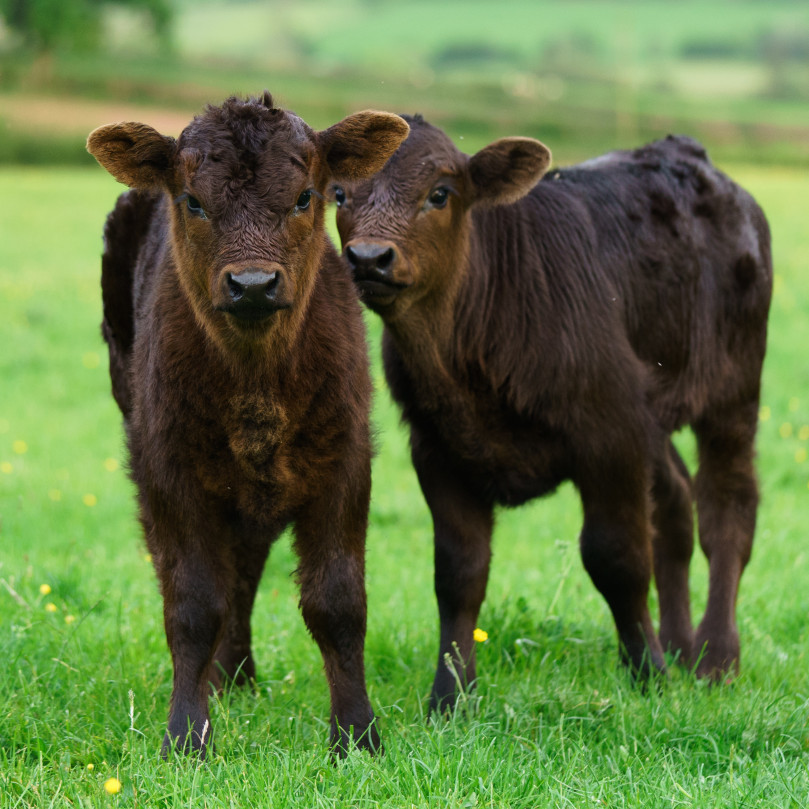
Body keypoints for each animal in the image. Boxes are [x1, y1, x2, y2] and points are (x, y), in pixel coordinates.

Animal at [85, 91, 408, 756]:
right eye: (193, 201)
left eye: (307, 197)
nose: (252, 284)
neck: (257, 388)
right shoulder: (170, 472)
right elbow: (191, 604)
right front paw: (187, 734)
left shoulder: (345, 464)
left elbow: (338, 603)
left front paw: (357, 734)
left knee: (246, 567)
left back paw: (236, 676)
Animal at [332, 117, 772, 712]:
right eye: (338, 193)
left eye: (440, 193)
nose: (369, 257)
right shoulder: (436, 448)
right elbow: (459, 573)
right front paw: (451, 696)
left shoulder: (609, 433)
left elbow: (617, 557)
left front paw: (648, 676)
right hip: (648, 412)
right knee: (677, 503)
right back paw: (681, 646)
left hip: (732, 390)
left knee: (728, 509)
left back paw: (716, 658)